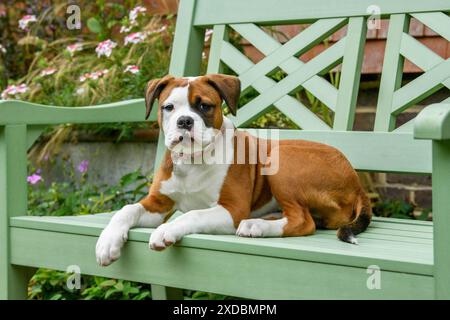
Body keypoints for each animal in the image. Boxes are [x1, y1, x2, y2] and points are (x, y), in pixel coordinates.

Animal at [94, 74, 370, 266]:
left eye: (204, 106)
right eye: (168, 107)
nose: (185, 121)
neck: (193, 161)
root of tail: (357, 183)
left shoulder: (232, 209)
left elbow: (193, 214)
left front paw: (166, 230)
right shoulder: (158, 204)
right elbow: (127, 209)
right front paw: (107, 242)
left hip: (281, 160)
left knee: (303, 221)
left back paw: (256, 226)